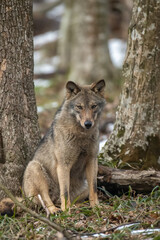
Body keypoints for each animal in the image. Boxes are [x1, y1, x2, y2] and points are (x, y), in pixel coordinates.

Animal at [0, 79, 106, 217]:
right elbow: (64, 192)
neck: (81, 134)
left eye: (93, 106)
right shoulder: (63, 164)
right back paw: (55, 210)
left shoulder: (92, 160)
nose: (88, 124)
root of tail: (25, 199)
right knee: (45, 199)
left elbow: (94, 188)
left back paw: (76, 206)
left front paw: (96, 207)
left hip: (84, 186)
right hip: (35, 168)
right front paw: (66, 212)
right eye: (79, 107)